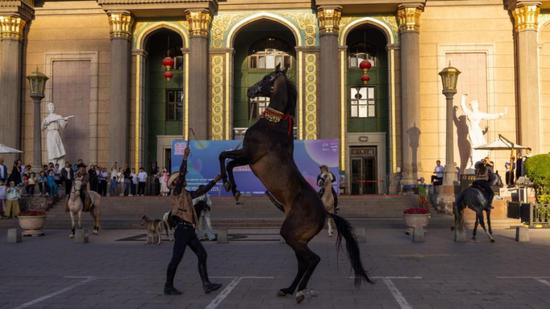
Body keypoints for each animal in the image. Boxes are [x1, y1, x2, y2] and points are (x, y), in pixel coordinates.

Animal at [218, 63, 374, 302]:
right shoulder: (247, 157)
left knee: (312, 259)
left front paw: (231, 187)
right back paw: (290, 289)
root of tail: (325, 212)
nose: (250, 91)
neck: (273, 126)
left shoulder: (250, 155)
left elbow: (224, 158)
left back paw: (298, 291)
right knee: (304, 262)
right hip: (298, 238)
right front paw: (231, 187)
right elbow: (226, 160)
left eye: (268, 77)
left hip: (290, 233)